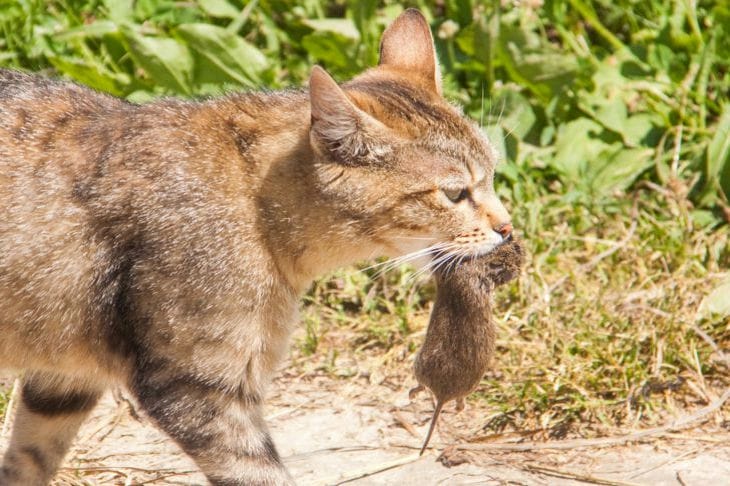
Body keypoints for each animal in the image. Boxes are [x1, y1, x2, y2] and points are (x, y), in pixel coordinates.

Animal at [0, 8, 512, 486]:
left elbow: (28, 459)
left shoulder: (64, 378)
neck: (255, 205)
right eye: (455, 193)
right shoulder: (198, 387)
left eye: (490, 173)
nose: (507, 228)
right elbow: (259, 472)